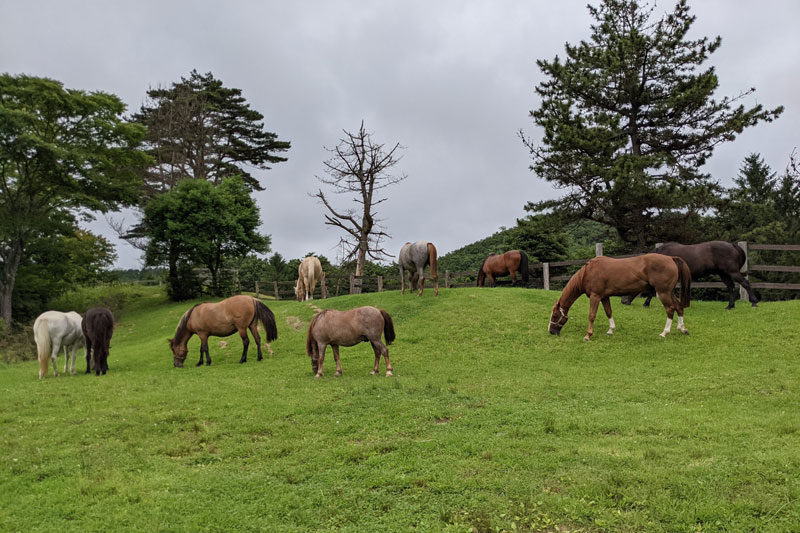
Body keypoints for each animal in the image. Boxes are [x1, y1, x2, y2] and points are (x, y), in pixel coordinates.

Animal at [548, 255, 692, 340]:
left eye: (555, 316)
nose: (551, 331)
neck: (588, 272)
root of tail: (671, 258)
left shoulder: (595, 296)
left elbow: (592, 315)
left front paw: (588, 335)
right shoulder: (604, 297)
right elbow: (609, 312)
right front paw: (610, 330)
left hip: (663, 292)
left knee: (670, 309)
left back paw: (664, 332)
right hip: (669, 292)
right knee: (679, 306)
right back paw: (682, 329)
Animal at [620, 240, 760, 310]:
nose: (623, 301)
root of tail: (733, 245)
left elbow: (653, 291)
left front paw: (646, 303)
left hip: (732, 272)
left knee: (745, 283)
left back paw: (754, 303)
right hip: (724, 274)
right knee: (731, 287)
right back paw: (730, 306)